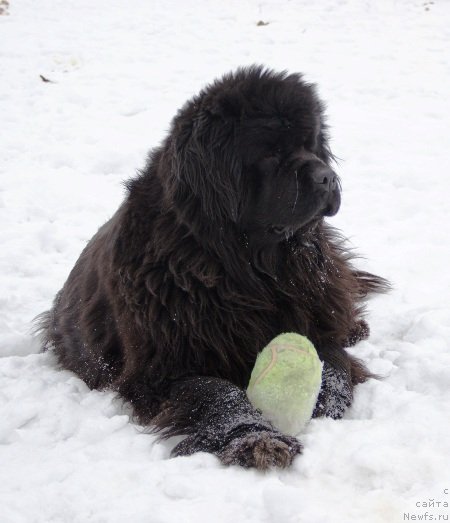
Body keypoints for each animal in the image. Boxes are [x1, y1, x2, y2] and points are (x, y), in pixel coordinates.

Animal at [37, 66, 388, 470]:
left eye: (311, 144)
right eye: (271, 153)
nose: (326, 175)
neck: (246, 270)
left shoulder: (312, 316)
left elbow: (331, 362)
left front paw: (324, 401)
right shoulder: (166, 368)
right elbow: (217, 393)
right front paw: (257, 440)